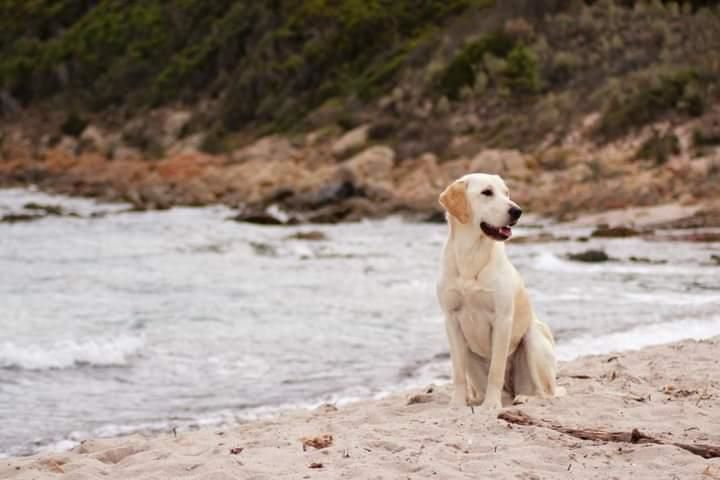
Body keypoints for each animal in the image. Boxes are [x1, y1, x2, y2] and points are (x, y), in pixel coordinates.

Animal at [436, 172, 560, 408]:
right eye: (487, 192)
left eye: (506, 193)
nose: (517, 211)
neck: (471, 255)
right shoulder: (451, 320)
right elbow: (458, 373)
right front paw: (457, 404)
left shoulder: (502, 319)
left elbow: (496, 369)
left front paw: (492, 405)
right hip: (472, 357)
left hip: (534, 340)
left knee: (546, 393)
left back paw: (524, 398)